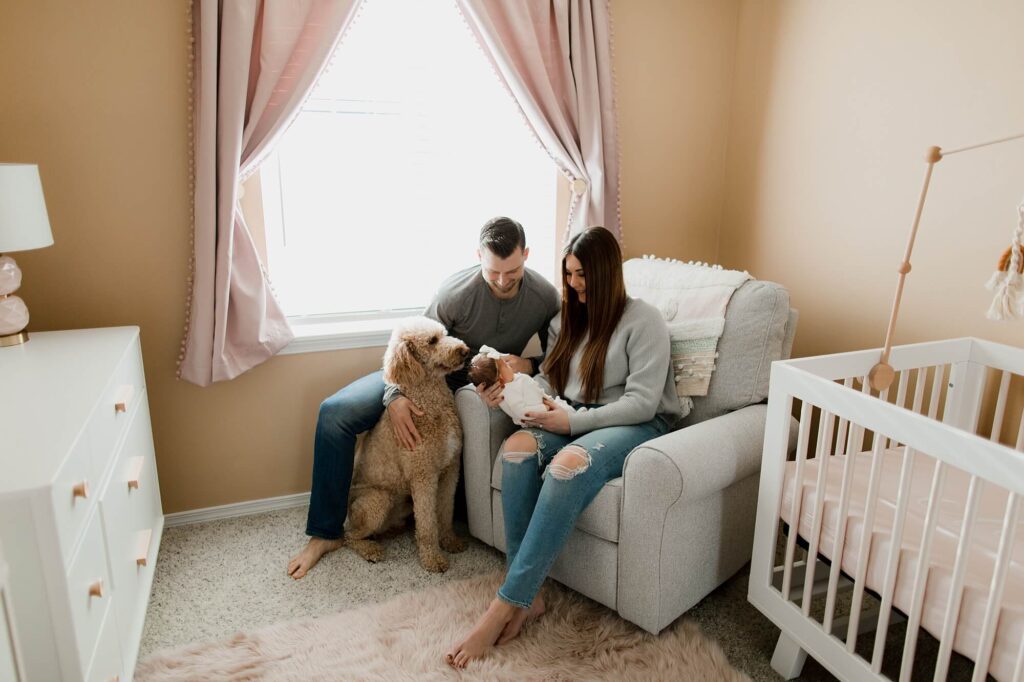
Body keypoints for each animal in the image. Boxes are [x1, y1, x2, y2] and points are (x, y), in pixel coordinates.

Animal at [346, 315, 468, 569]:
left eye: (444, 333)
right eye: (432, 341)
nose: (464, 350)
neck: (430, 402)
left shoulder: (451, 469)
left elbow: (445, 511)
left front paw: (450, 541)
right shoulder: (424, 475)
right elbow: (428, 524)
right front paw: (433, 559)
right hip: (378, 500)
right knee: (349, 536)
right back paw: (370, 550)